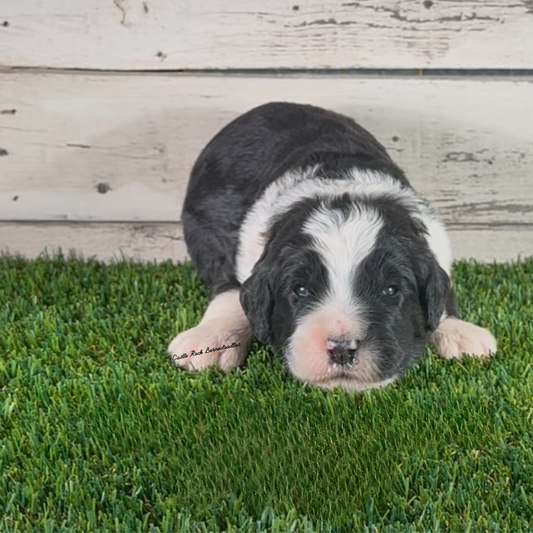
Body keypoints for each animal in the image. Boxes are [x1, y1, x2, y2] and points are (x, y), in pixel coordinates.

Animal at [168, 101, 496, 390]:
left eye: (390, 290)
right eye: (300, 290)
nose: (342, 349)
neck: (341, 184)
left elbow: (442, 289)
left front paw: (461, 332)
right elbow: (230, 290)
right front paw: (211, 340)